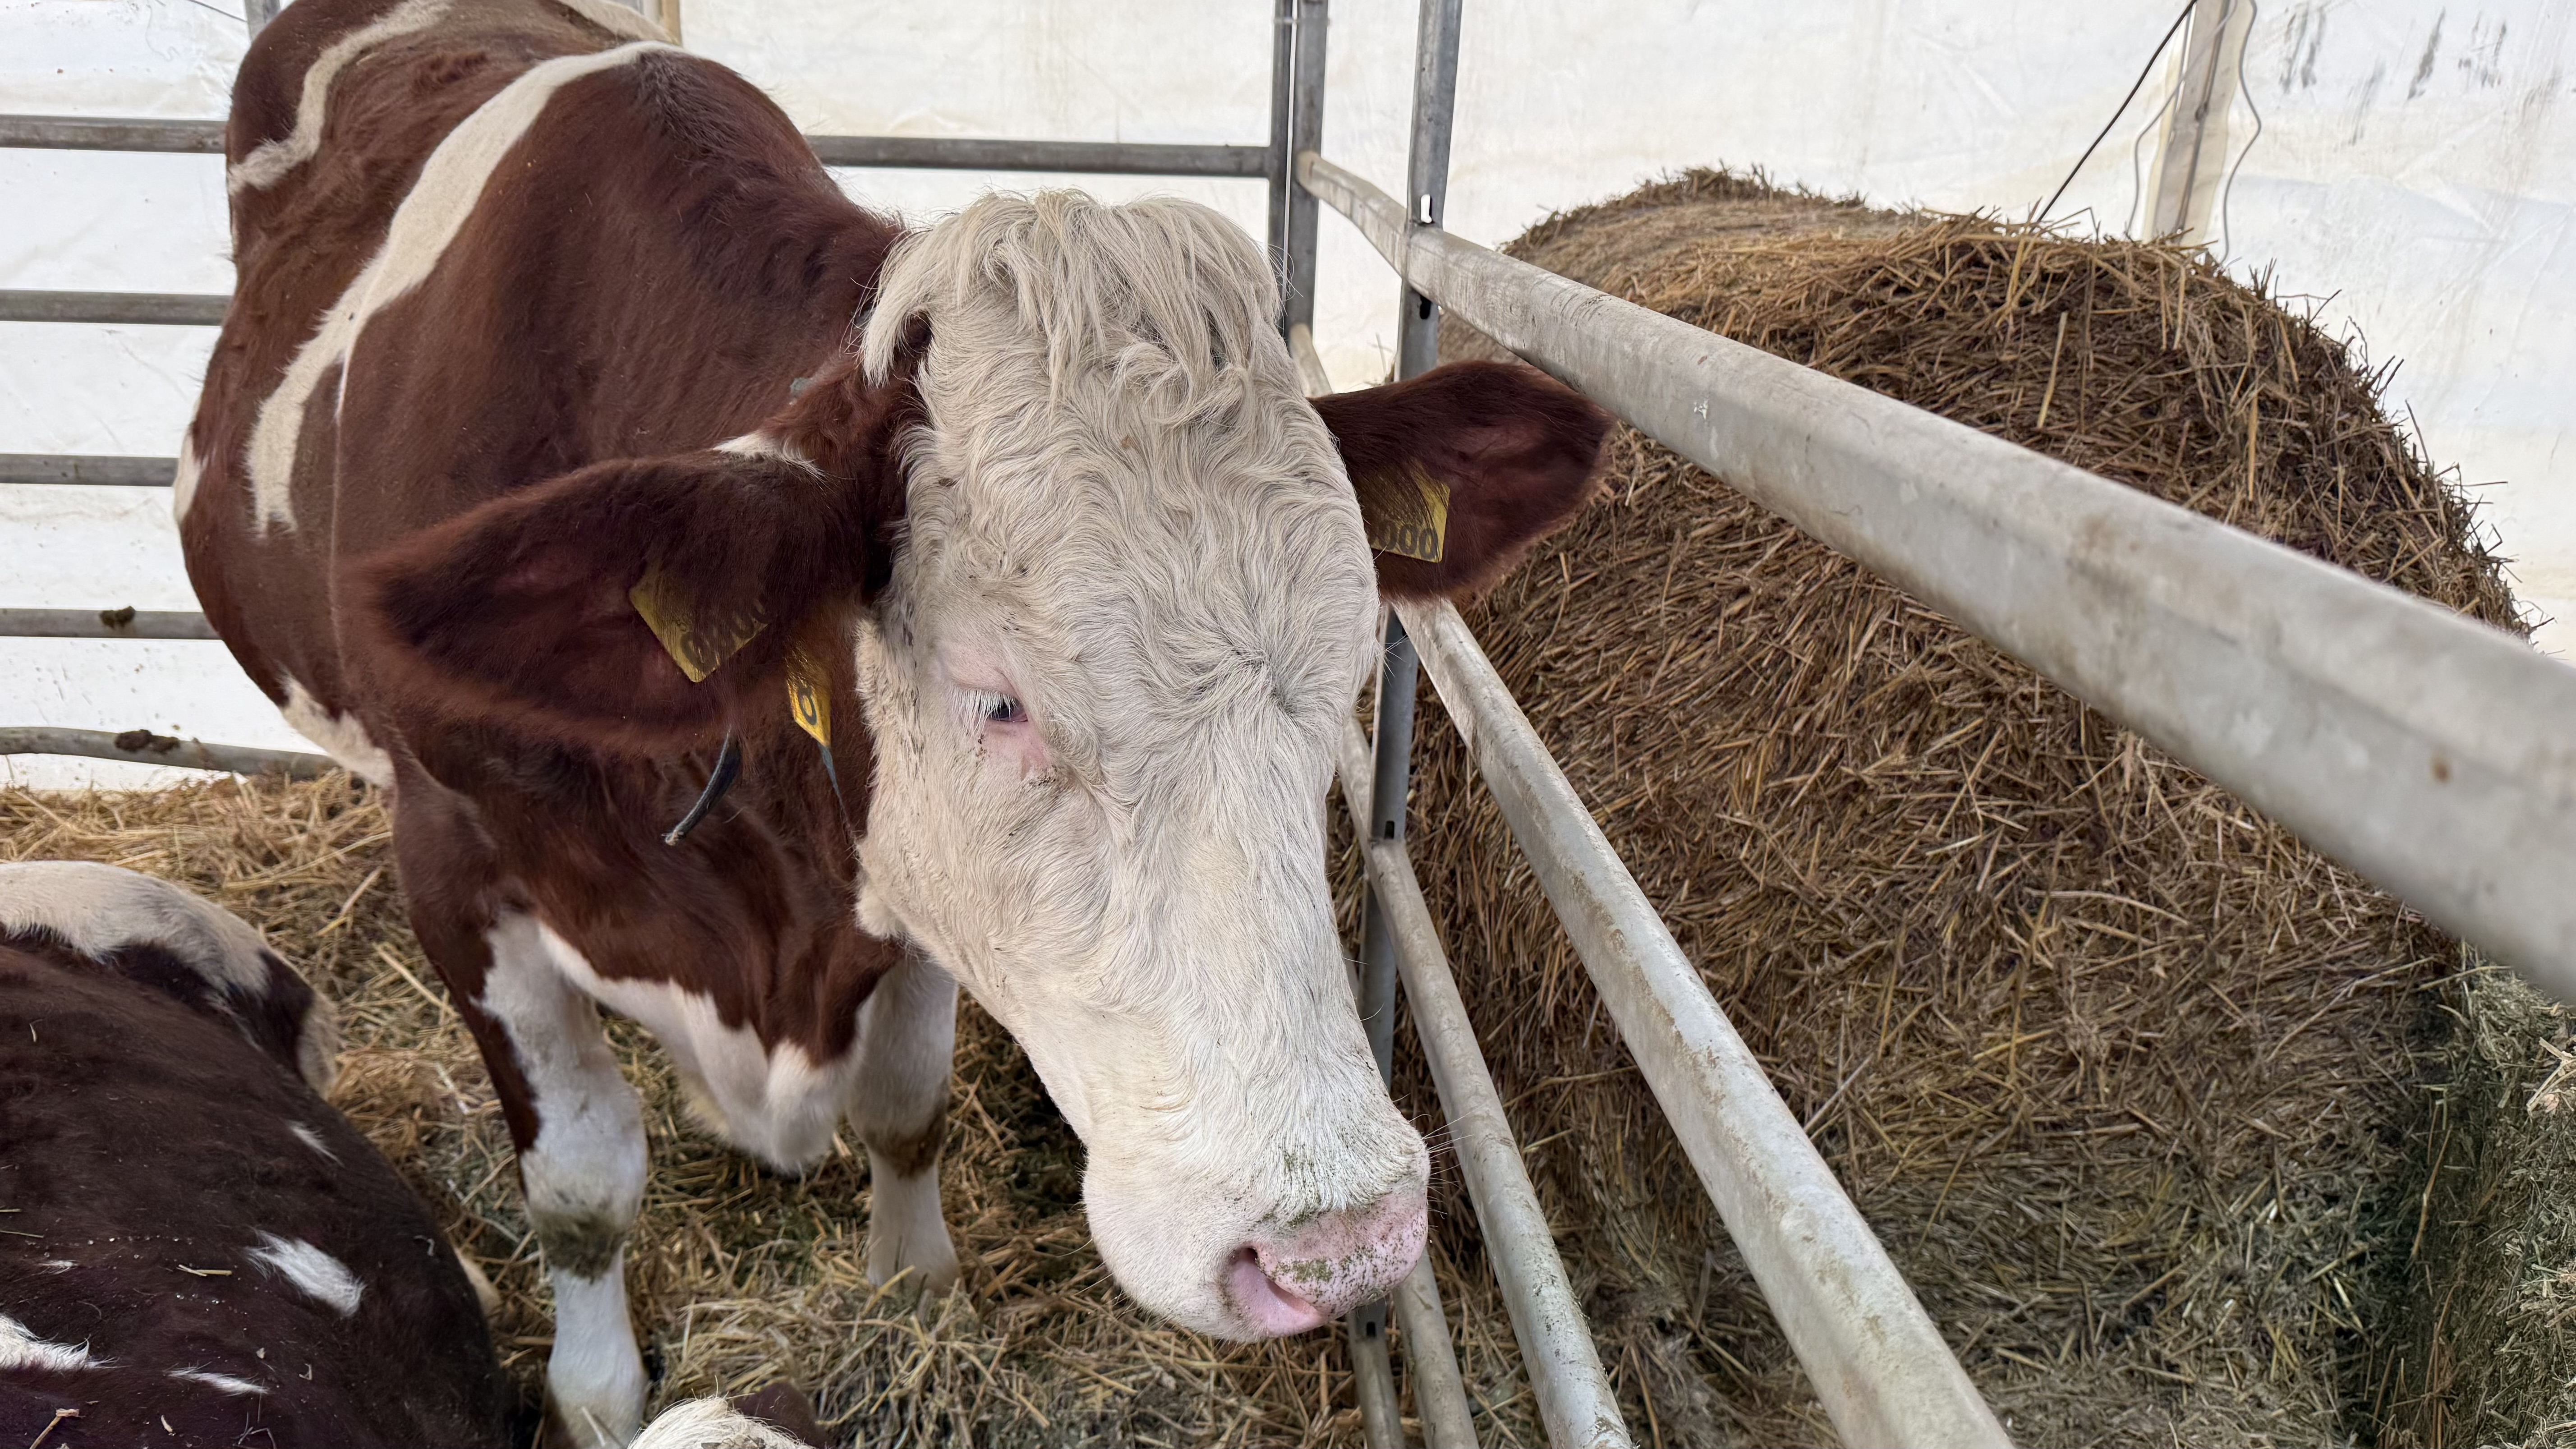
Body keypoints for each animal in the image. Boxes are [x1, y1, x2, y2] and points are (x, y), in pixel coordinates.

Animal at [179, 0, 1612, 1440]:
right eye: (1000, 698)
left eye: (1344, 666)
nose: (1344, 1242)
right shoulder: (457, 865)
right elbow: (582, 1185)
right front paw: (599, 1389)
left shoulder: (898, 879)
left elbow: (908, 1111)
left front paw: (915, 1291)